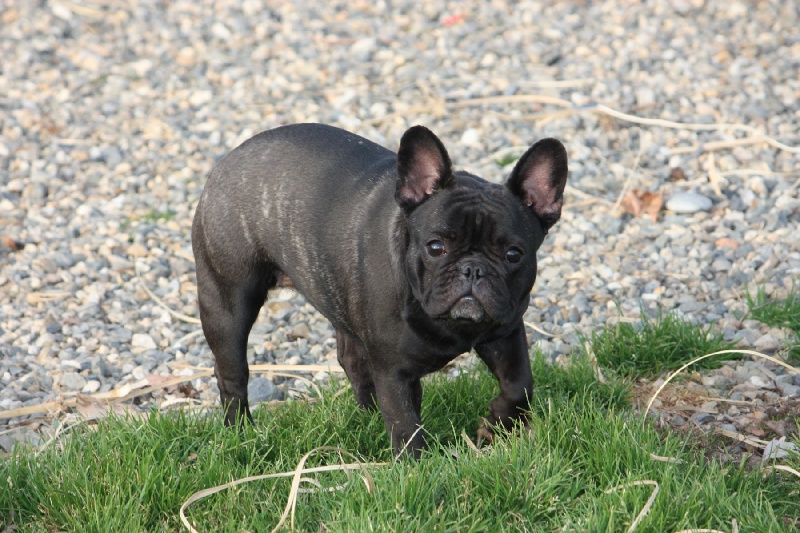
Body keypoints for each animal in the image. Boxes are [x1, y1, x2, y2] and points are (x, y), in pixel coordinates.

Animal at [193, 122, 568, 456]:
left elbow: (519, 385)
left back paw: (369, 415)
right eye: (436, 247)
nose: (472, 268)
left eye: (513, 254)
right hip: (227, 303)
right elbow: (405, 424)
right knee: (231, 374)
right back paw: (240, 432)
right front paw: (419, 470)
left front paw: (495, 424)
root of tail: (228, 160)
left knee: (353, 360)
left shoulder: (505, 331)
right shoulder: (394, 371)